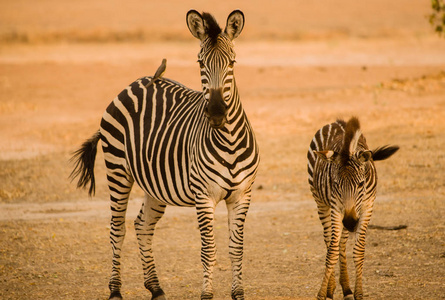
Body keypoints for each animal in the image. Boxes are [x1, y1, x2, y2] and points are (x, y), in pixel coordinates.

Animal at [70, 9, 258, 300]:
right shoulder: (204, 196)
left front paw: (238, 294)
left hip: (155, 184)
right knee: (117, 228)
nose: (216, 114)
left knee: (142, 225)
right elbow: (209, 250)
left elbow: (236, 249)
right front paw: (207, 294)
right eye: (200, 63)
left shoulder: (242, 195)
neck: (228, 141)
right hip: (117, 169)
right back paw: (115, 290)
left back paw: (156, 287)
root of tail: (141, 80)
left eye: (232, 63)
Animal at [306, 117, 398, 300]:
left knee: (342, 243)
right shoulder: (336, 207)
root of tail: (337, 122)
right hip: (321, 202)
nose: (349, 222)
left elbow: (359, 251)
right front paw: (322, 293)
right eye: (335, 184)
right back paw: (332, 289)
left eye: (361, 184)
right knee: (330, 240)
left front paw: (358, 293)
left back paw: (347, 288)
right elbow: (331, 252)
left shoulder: (367, 206)